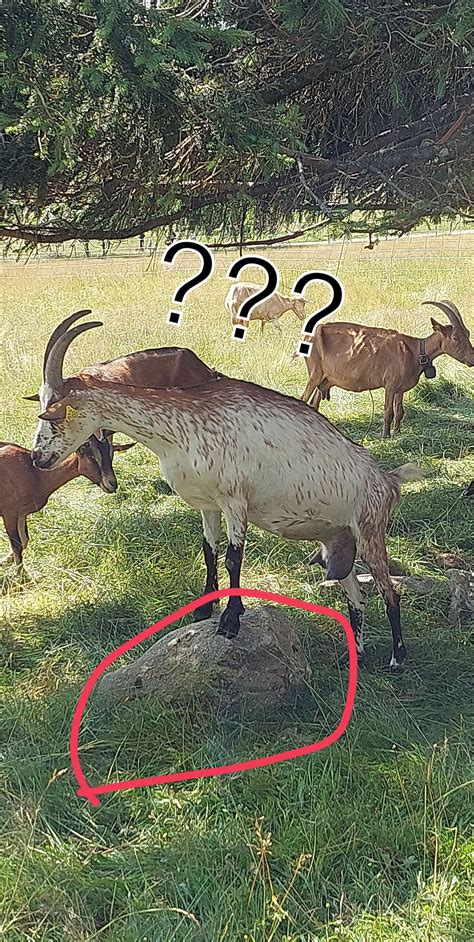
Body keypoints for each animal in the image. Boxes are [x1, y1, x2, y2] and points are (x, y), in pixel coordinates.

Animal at [0, 436, 133, 575]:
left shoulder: (21, 513)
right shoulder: (10, 513)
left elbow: (24, 540)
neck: (34, 473)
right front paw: (20, 578)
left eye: (111, 454)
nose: (112, 484)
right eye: (91, 456)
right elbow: (16, 545)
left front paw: (3, 562)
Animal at [31, 314, 425, 669]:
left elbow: (234, 558)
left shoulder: (235, 501)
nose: (37, 457)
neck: (179, 429)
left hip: (370, 531)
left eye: (54, 415)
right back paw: (354, 656)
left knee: (390, 593)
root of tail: (388, 480)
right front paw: (204, 610)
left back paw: (397, 658)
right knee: (357, 599)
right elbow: (209, 552)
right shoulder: (208, 505)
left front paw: (231, 620)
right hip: (338, 545)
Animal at [299, 300, 473, 438]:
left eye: (468, 333)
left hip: (325, 379)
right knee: (304, 398)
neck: (414, 351)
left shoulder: (400, 388)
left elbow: (399, 411)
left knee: (314, 404)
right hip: (315, 373)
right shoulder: (390, 384)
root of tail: (309, 335)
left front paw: (397, 432)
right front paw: (385, 436)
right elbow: (388, 411)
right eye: (455, 337)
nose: (472, 359)